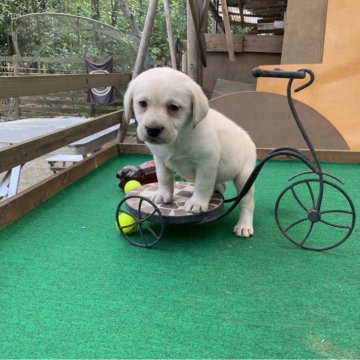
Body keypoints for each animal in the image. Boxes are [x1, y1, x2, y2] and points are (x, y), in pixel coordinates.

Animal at [124, 67, 256, 238]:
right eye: (142, 103)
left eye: (173, 107)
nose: (153, 129)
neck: (179, 137)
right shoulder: (159, 159)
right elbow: (164, 178)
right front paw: (163, 194)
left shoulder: (207, 161)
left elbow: (203, 184)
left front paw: (197, 202)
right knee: (221, 185)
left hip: (245, 177)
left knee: (247, 202)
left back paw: (244, 225)